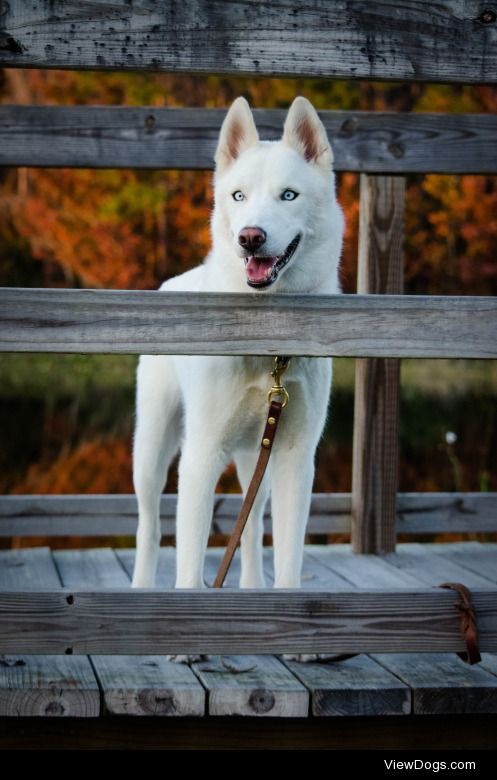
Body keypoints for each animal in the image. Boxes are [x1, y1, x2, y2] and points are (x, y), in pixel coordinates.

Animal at [130, 94, 342, 588]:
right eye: (238, 196)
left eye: (289, 195)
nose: (250, 237)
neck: (268, 348)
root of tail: (173, 282)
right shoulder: (201, 458)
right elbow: (189, 570)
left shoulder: (294, 459)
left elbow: (286, 562)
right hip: (151, 451)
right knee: (149, 527)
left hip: (254, 458)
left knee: (250, 527)